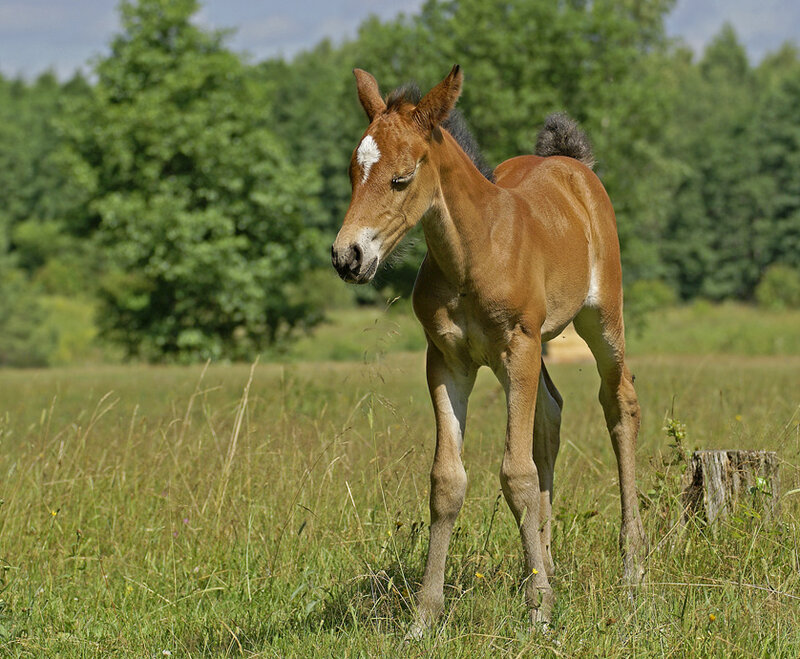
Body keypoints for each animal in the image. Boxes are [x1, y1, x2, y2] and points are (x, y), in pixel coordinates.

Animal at [331, 65, 647, 634]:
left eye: (401, 178)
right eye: (352, 172)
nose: (348, 257)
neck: (473, 253)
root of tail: (571, 164)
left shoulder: (516, 348)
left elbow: (516, 474)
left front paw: (539, 611)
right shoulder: (446, 360)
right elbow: (447, 481)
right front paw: (424, 616)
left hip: (601, 319)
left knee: (620, 404)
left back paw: (630, 569)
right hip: (537, 350)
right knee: (551, 412)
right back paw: (546, 562)